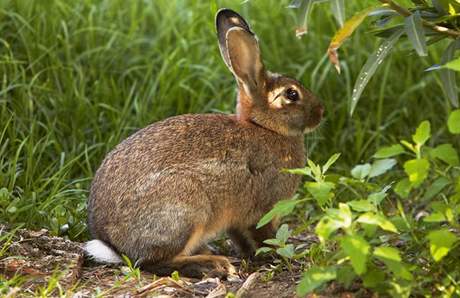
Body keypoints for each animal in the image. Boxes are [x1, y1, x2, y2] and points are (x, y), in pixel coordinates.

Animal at [86, 8, 324, 280]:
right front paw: (278, 257)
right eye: (292, 94)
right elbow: (265, 238)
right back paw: (212, 264)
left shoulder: (237, 220)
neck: (265, 127)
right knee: (151, 262)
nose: (321, 112)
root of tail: (112, 243)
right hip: (187, 210)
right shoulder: (262, 209)